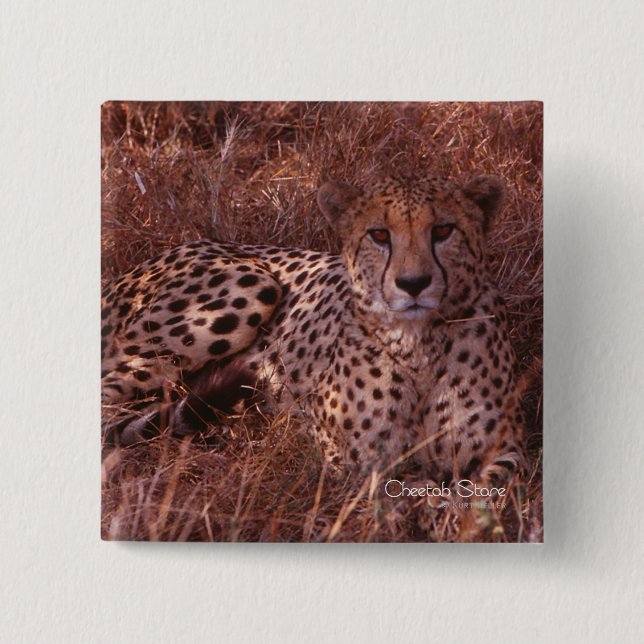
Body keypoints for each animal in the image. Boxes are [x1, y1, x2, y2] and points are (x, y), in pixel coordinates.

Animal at [101, 173, 526, 487]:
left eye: (443, 231)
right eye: (379, 234)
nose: (413, 283)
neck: (417, 344)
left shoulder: (508, 451)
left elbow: (487, 489)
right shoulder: (347, 457)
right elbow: (399, 486)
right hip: (250, 286)